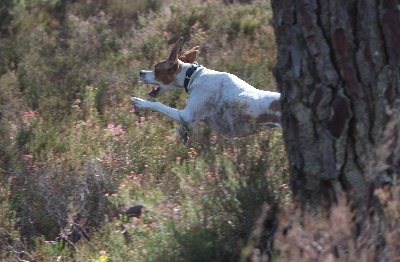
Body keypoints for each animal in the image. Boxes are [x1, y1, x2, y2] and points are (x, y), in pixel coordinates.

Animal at [132, 37, 282, 141]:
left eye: (156, 69)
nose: (140, 72)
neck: (194, 76)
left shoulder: (187, 116)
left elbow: (158, 105)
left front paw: (140, 102)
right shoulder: (200, 118)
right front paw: (182, 133)